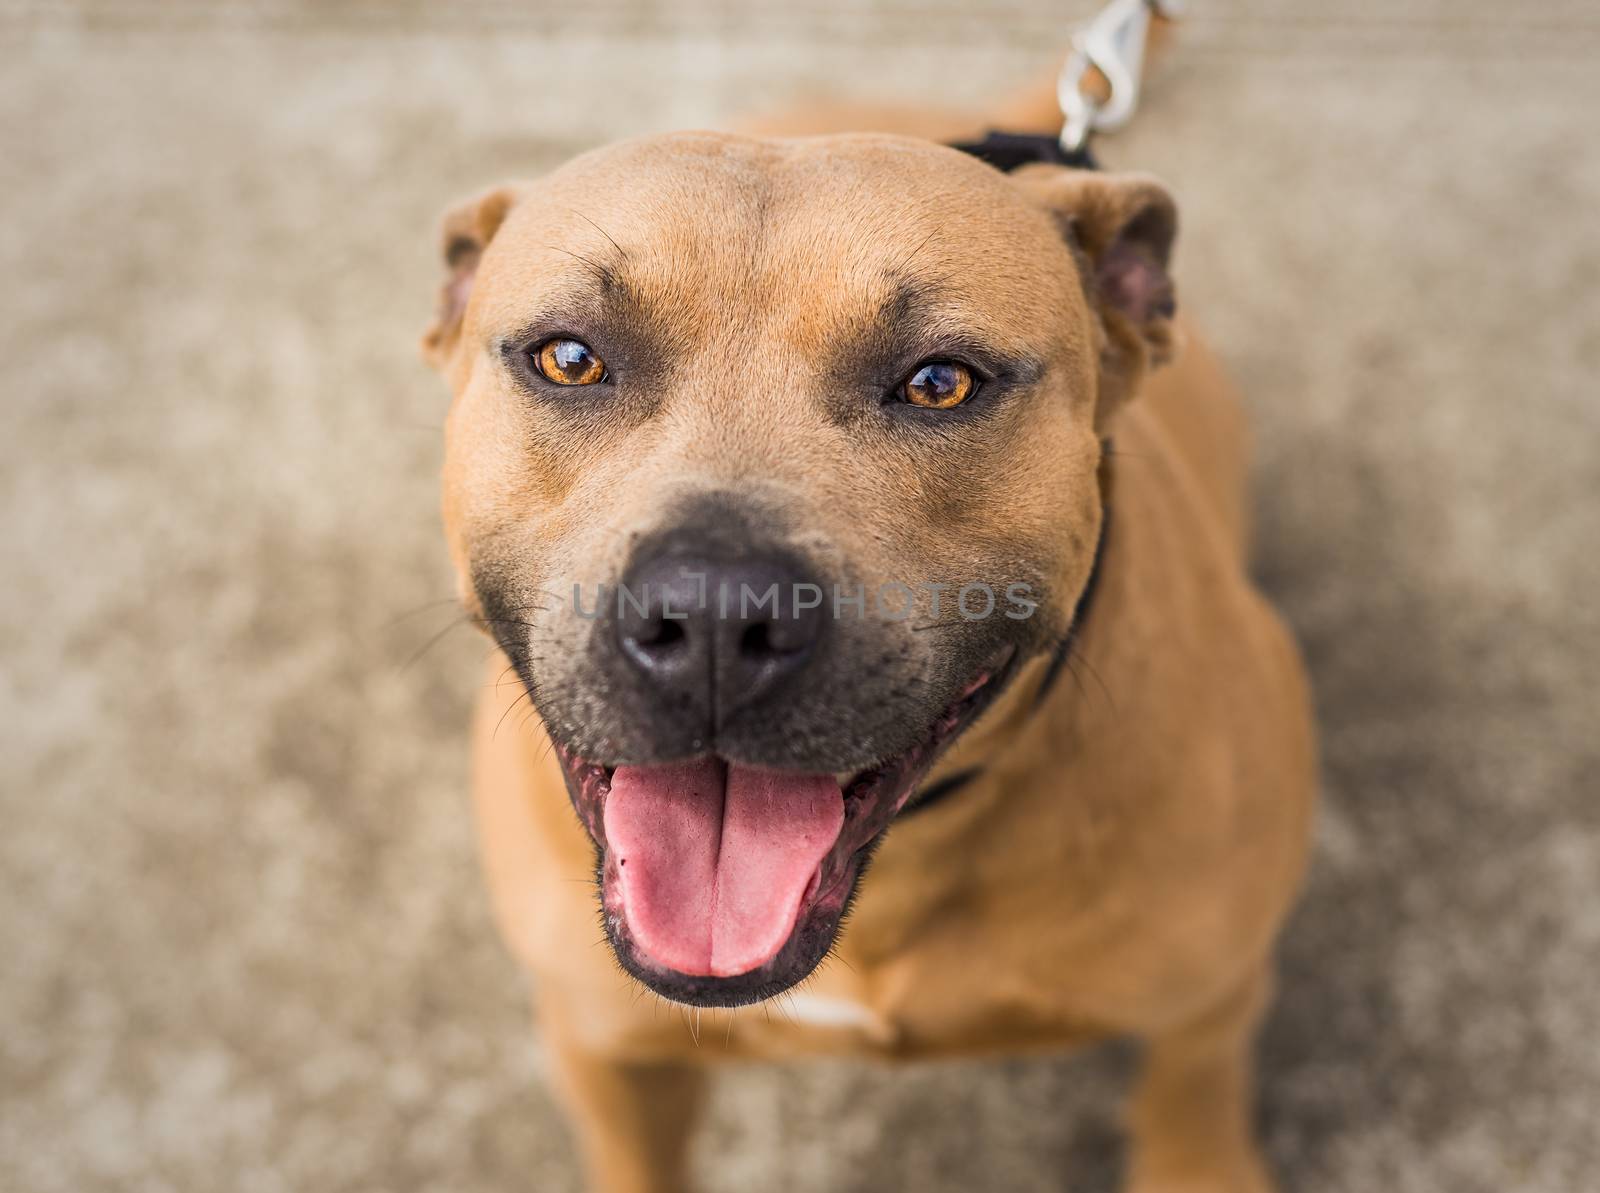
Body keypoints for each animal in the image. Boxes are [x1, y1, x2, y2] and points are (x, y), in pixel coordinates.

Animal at [422, 71, 1312, 1189]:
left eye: (940, 381)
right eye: (570, 359)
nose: (716, 615)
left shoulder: (1206, 1011)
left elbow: (1190, 1111)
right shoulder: (608, 1051)